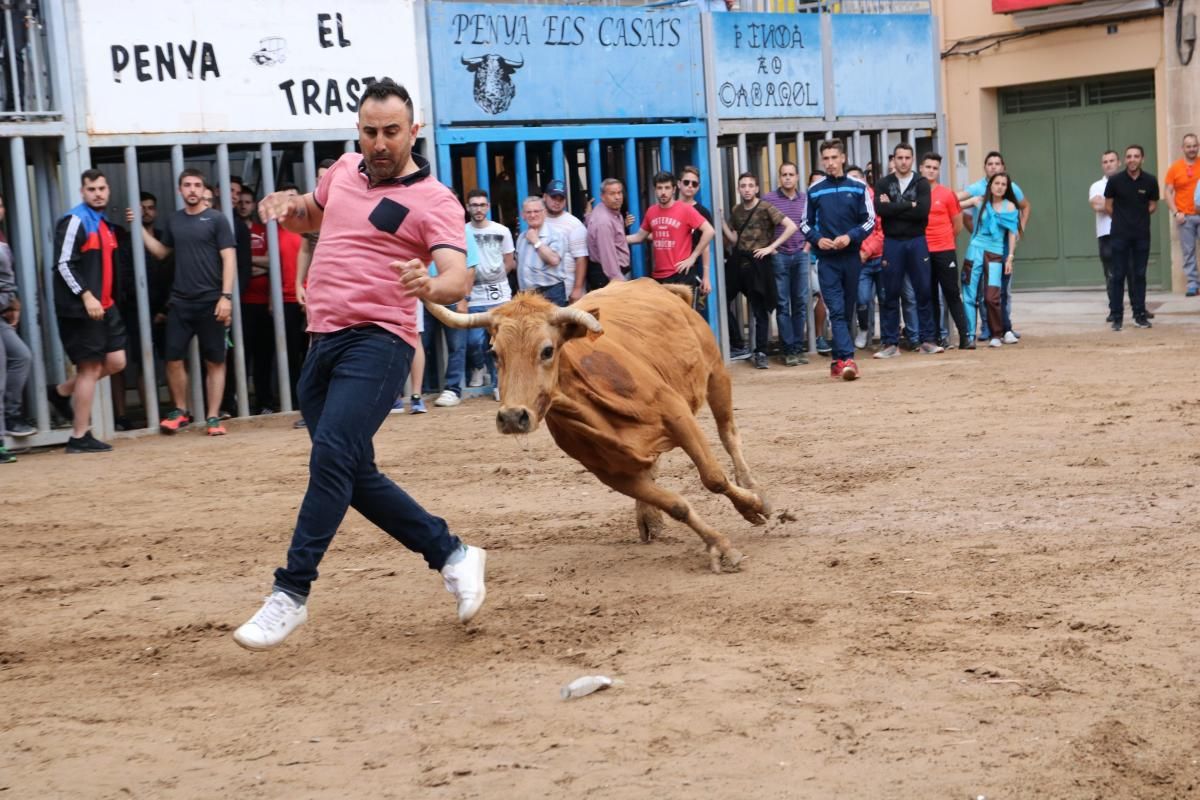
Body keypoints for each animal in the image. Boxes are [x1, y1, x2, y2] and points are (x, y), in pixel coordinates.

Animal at [424, 278, 768, 573]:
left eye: (547, 350)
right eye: (495, 352)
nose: (512, 417)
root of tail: (661, 288)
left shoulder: (678, 416)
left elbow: (714, 478)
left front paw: (753, 507)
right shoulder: (610, 472)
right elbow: (676, 505)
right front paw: (719, 545)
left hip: (716, 374)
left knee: (728, 434)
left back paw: (750, 484)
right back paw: (648, 517)